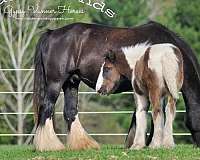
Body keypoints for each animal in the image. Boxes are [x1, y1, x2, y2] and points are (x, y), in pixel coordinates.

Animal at [32, 21, 200, 151]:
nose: (197, 146)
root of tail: (51, 33)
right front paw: (145, 143)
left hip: (71, 82)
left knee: (70, 111)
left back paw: (83, 144)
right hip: (55, 82)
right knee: (46, 108)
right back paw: (49, 146)